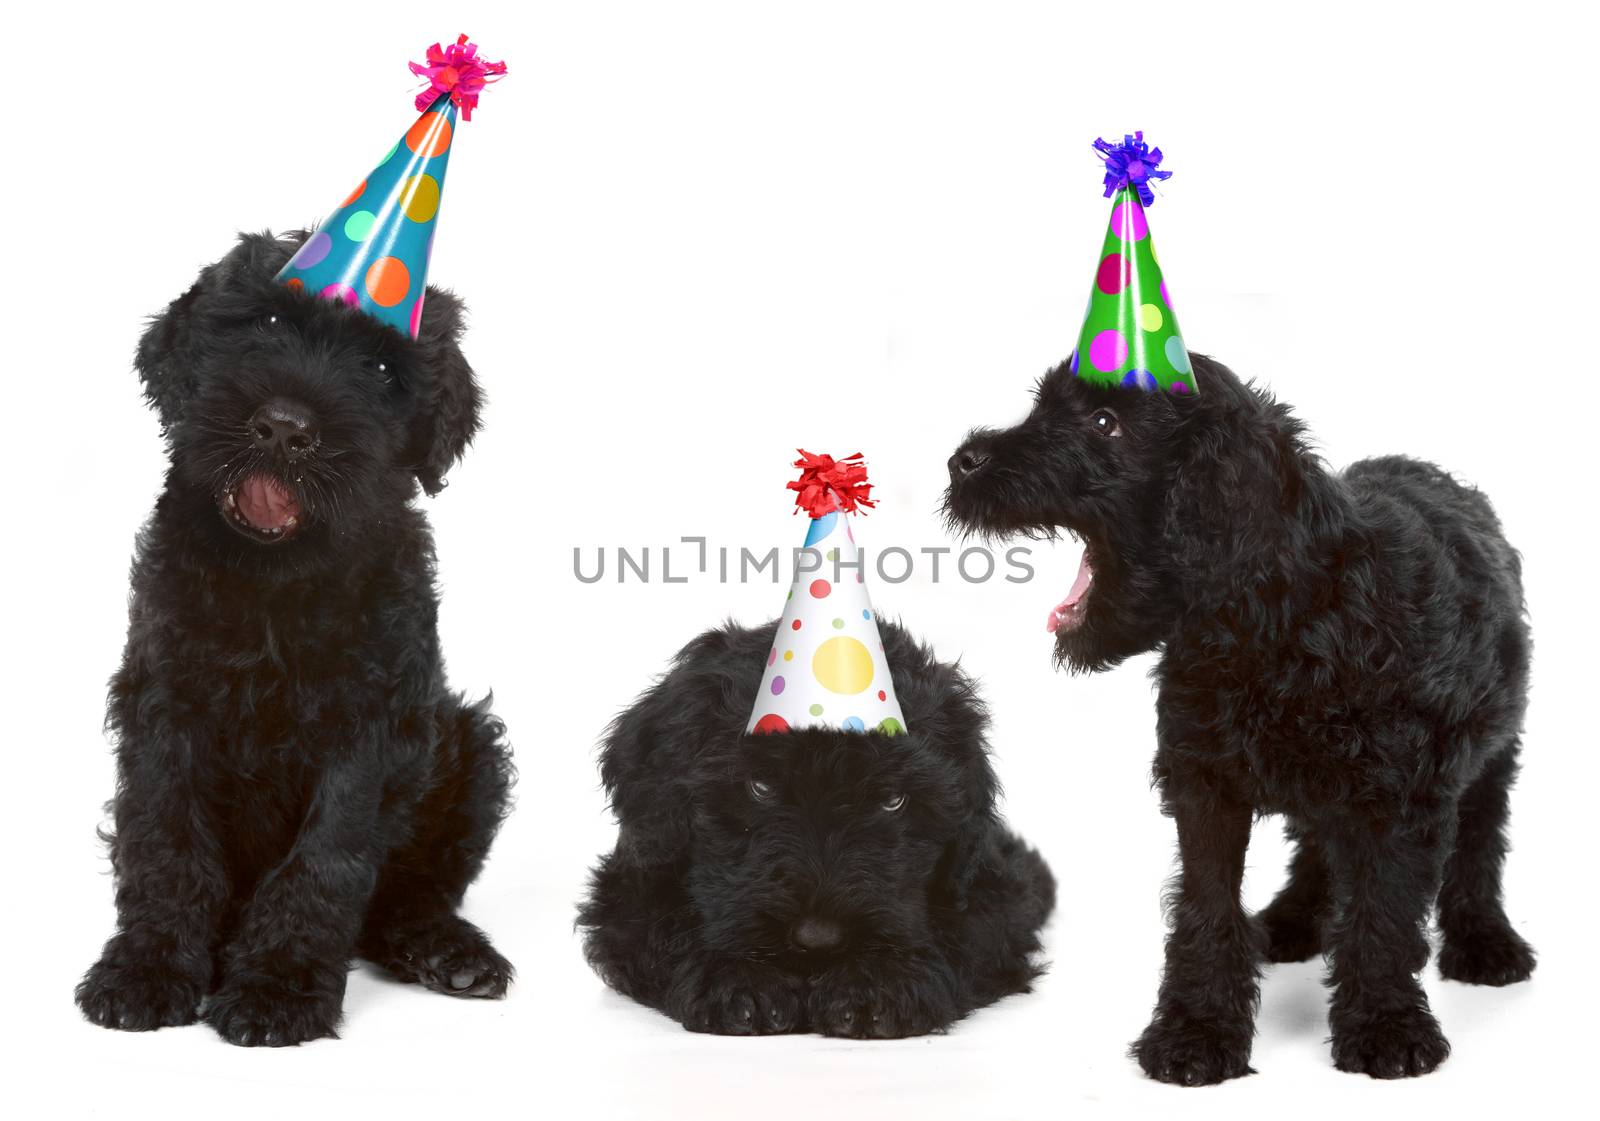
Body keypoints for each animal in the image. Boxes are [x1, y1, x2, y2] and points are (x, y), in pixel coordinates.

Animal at [76, 231, 512, 1042]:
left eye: (381, 368)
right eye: (268, 323)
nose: (285, 429)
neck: (275, 584)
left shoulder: (368, 728)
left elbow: (326, 857)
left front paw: (278, 984)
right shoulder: (164, 705)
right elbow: (164, 839)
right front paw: (148, 967)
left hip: (471, 745)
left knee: (406, 895)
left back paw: (447, 950)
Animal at [582, 617, 1056, 1036]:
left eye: (893, 800)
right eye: (760, 786)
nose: (818, 939)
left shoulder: (994, 895)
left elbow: (964, 930)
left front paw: (878, 982)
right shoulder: (628, 894)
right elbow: (663, 926)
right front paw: (742, 980)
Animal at [940, 353, 1529, 1081]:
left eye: (1104, 423)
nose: (962, 461)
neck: (1276, 618)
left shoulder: (1402, 797)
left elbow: (1385, 914)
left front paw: (1387, 1026)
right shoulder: (1205, 784)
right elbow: (1206, 907)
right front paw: (1196, 1030)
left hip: (1494, 745)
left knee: (1479, 839)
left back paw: (1485, 940)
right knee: (1319, 840)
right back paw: (1296, 919)